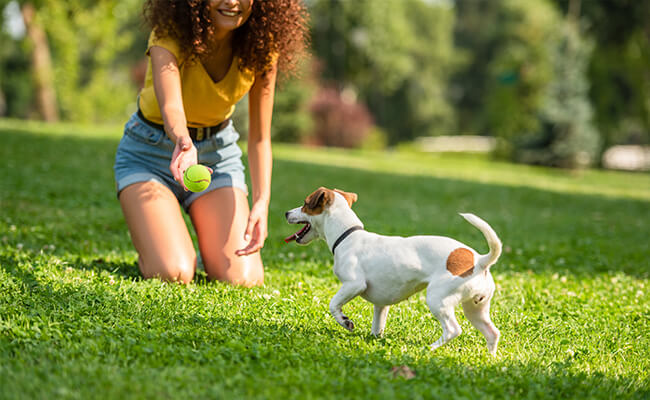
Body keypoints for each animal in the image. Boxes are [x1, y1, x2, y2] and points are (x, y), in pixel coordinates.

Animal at [284, 186, 502, 354]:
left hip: (438, 299)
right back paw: (490, 359)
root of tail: (479, 261)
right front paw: (375, 339)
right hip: (475, 309)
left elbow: (333, 304)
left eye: (305, 203)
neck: (347, 235)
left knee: (453, 330)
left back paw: (430, 348)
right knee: (492, 332)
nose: (286, 213)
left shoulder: (354, 284)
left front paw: (345, 321)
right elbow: (377, 326)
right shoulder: (381, 305)